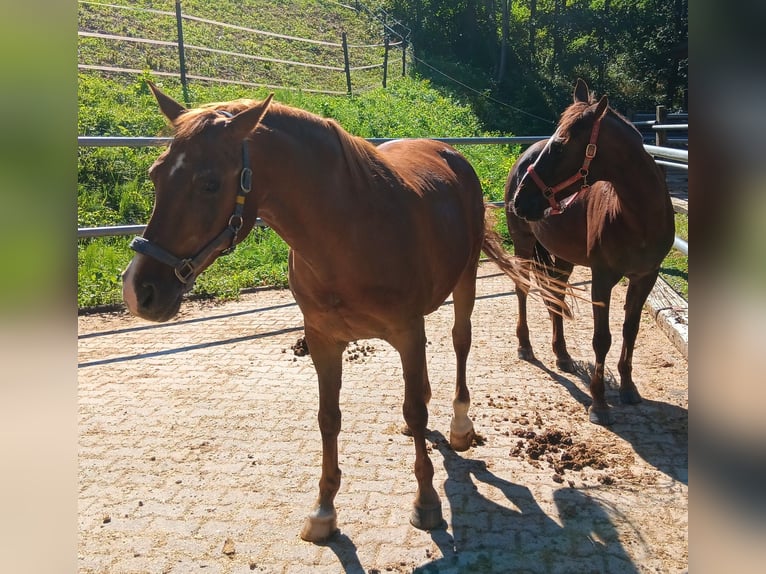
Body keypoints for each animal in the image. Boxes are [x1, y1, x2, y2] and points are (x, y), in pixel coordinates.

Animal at [123, 82, 544, 544]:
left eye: (210, 184)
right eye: (156, 175)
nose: (139, 290)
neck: (348, 233)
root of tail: (453, 156)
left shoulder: (406, 331)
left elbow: (414, 410)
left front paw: (426, 501)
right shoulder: (324, 340)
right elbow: (330, 418)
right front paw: (324, 510)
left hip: (465, 280)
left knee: (460, 342)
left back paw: (460, 425)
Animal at [508, 79, 676, 426]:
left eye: (560, 147)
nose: (520, 198)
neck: (637, 216)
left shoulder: (645, 277)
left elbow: (630, 330)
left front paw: (628, 388)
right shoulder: (601, 279)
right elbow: (603, 339)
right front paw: (599, 404)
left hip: (562, 258)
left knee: (556, 295)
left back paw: (562, 354)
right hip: (523, 245)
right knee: (523, 290)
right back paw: (525, 346)